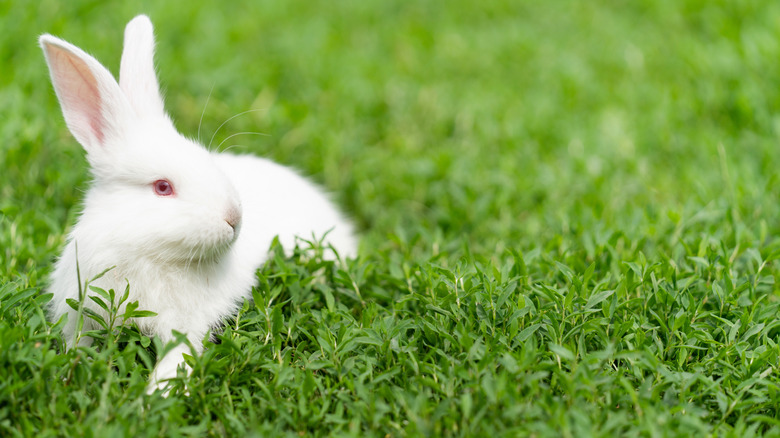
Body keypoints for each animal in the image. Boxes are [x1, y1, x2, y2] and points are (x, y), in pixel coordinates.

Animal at [41, 15, 358, 394]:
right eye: (163, 187)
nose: (234, 218)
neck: (148, 255)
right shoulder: (79, 314)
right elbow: (76, 346)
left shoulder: (185, 326)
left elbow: (176, 359)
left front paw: (154, 397)